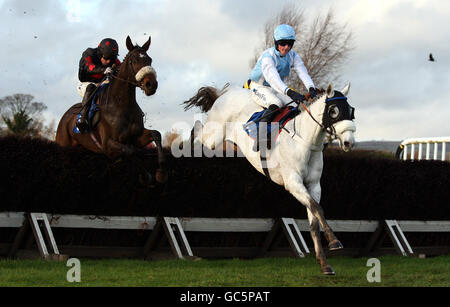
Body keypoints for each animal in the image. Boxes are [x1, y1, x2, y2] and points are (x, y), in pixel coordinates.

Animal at [55, 36, 167, 184]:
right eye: (134, 61)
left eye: (149, 60)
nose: (151, 85)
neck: (122, 105)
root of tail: (65, 117)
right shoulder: (108, 145)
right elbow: (130, 150)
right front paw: (145, 175)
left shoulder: (136, 138)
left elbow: (156, 134)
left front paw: (161, 172)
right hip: (63, 143)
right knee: (90, 86)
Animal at [183, 83, 356, 276]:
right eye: (334, 111)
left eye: (351, 110)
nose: (349, 142)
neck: (305, 141)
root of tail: (224, 93)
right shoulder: (293, 183)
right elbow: (318, 208)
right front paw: (334, 241)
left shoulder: (313, 186)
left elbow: (314, 219)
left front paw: (324, 263)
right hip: (213, 136)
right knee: (198, 129)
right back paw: (186, 142)